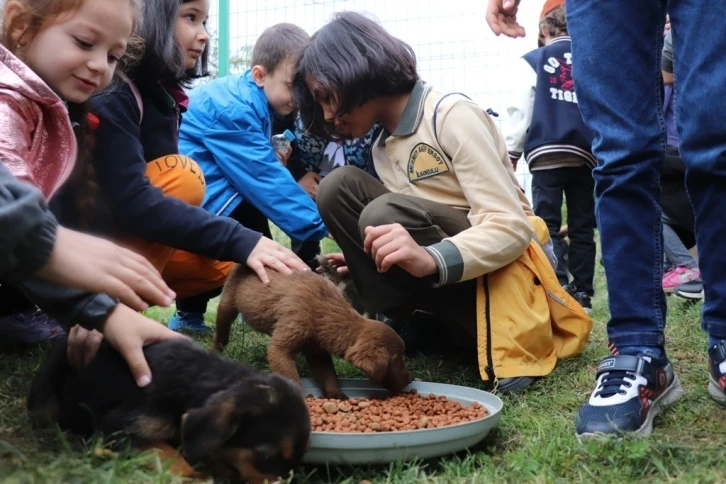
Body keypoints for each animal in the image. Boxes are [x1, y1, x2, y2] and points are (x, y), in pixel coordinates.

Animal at [213, 266, 412, 398]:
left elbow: (328, 375)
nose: (410, 379)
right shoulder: (281, 348)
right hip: (227, 303)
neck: (323, 310)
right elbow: (290, 376)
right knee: (221, 331)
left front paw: (337, 395)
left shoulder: (317, 351)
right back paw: (215, 352)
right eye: (397, 359)